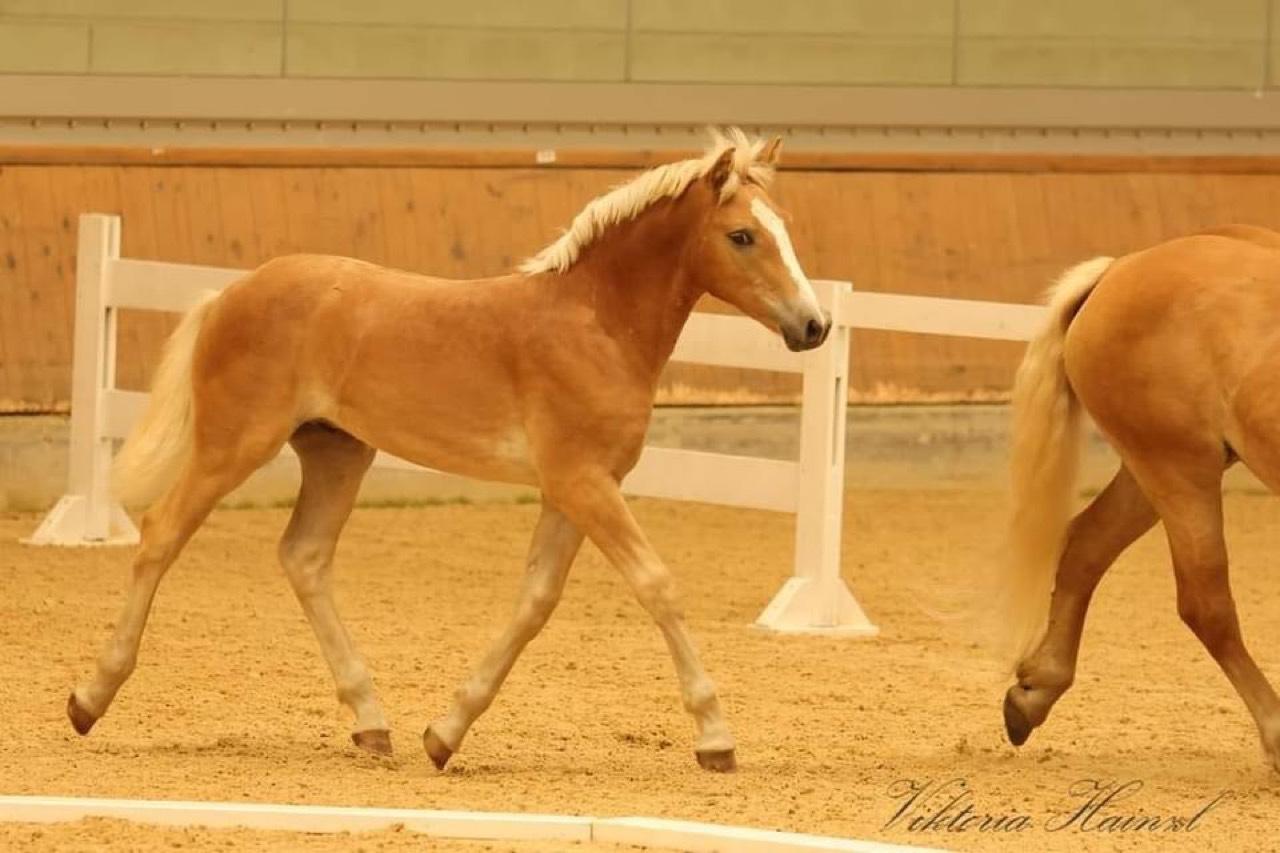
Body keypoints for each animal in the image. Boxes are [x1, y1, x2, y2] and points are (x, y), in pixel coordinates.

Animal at [70, 131, 829, 768]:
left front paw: (444, 733)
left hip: (338, 452)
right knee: (162, 533)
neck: (595, 323)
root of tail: (230, 293)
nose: (814, 325)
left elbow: (536, 601)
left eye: (785, 230)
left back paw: (372, 724)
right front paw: (716, 737)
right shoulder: (585, 482)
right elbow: (657, 585)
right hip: (235, 443)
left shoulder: (572, 488)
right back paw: (89, 699)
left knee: (304, 556)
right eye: (742, 235)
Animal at [1003, 222, 1280, 768]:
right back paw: (1277, 733)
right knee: (1206, 604)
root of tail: (1121, 268)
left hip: (1149, 469)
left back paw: (1035, 691)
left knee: (1085, 546)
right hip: (1177, 465)